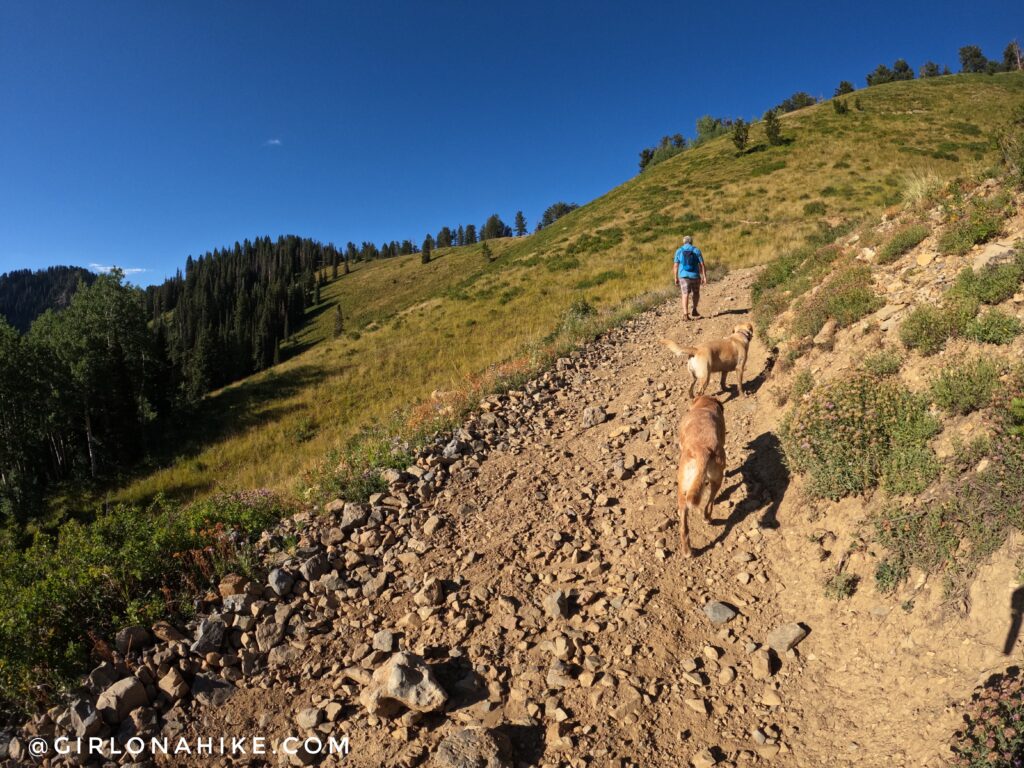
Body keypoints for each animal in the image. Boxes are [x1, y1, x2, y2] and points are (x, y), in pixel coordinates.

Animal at [675, 397, 724, 561]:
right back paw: (707, 518)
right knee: (709, 502)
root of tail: (702, 450)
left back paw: (687, 551)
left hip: (682, 490)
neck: (705, 405)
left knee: (683, 527)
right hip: (717, 479)